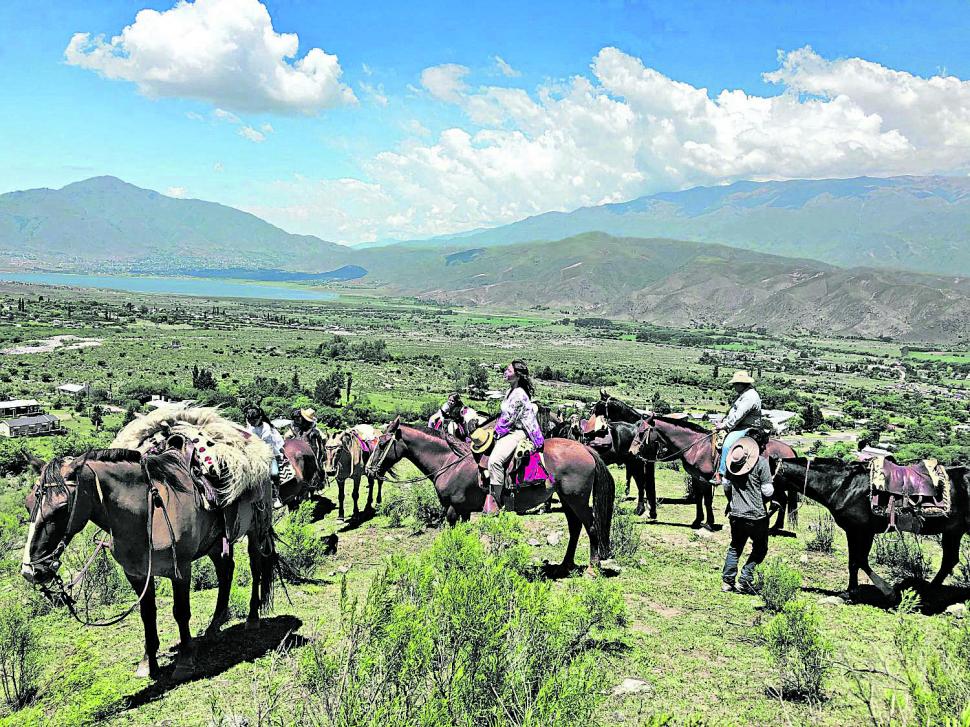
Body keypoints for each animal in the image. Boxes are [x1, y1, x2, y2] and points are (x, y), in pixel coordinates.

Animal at [19, 450, 276, 684]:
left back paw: (252, 617)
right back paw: (214, 626)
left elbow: (181, 612)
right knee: (226, 570)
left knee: (255, 567)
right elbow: (147, 615)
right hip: (214, 543)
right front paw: (148, 662)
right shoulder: (137, 575)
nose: (30, 571)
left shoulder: (180, 570)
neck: (147, 515)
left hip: (255, 531)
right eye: (28, 503)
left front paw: (185, 661)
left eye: (62, 507)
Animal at [364, 418, 612, 576]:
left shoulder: (452, 511)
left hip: (577, 499)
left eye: (383, 444)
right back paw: (565, 565)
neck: (449, 462)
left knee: (591, 527)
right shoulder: (463, 511)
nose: (369, 470)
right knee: (575, 528)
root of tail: (586, 449)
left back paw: (592, 568)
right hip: (568, 499)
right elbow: (464, 537)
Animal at [628, 418, 796, 532]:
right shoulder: (696, 478)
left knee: (779, 501)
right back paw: (775, 526)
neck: (697, 446)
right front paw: (697, 521)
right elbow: (698, 499)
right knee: (782, 500)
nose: (631, 451)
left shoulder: (706, 479)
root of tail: (790, 450)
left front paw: (709, 523)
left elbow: (707, 500)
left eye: (642, 433)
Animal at [768, 458, 964, 600]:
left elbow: (858, 560)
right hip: (953, 532)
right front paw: (852, 591)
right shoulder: (856, 532)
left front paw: (884, 592)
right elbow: (855, 561)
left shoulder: (861, 531)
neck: (843, 486)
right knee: (949, 561)